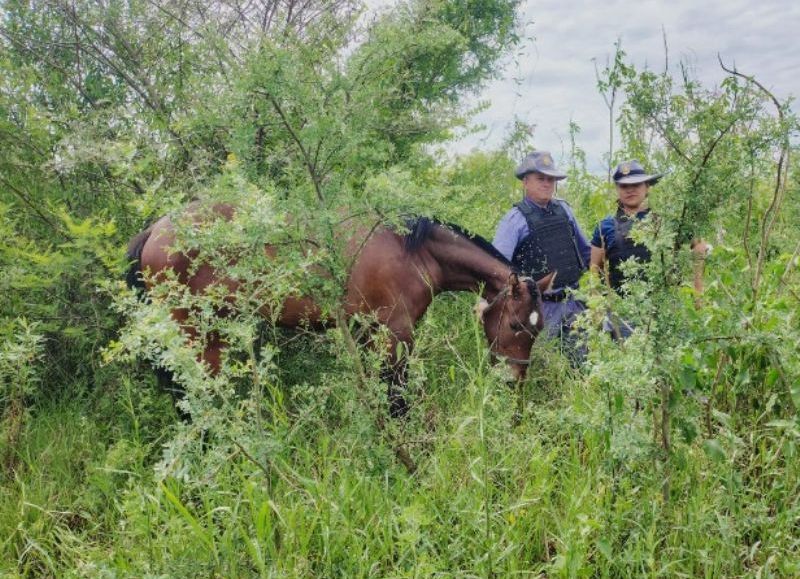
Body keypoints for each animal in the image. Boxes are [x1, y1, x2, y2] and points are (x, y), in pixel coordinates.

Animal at [126, 201, 553, 416]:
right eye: (517, 325)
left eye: (538, 328)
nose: (515, 381)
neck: (414, 251)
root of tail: (156, 229)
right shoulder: (395, 333)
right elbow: (398, 396)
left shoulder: (367, 332)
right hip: (194, 334)